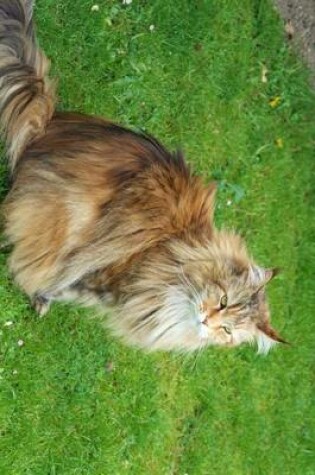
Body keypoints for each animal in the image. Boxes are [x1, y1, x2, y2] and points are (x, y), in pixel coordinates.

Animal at [0, 0, 288, 354]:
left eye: (228, 331)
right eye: (222, 301)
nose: (207, 322)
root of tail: (51, 125)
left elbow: (64, 287)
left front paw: (43, 297)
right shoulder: (101, 268)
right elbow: (60, 278)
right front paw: (37, 293)